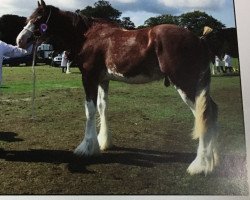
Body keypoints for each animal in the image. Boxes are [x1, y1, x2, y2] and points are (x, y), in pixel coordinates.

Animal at [16, 0, 219, 175]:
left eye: (38, 19)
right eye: (28, 19)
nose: (20, 41)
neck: (88, 36)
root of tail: (198, 39)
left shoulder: (88, 78)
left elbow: (90, 110)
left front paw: (86, 147)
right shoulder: (103, 80)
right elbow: (102, 107)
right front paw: (103, 142)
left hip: (185, 84)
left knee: (204, 114)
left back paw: (200, 165)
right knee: (211, 111)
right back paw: (212, 160)